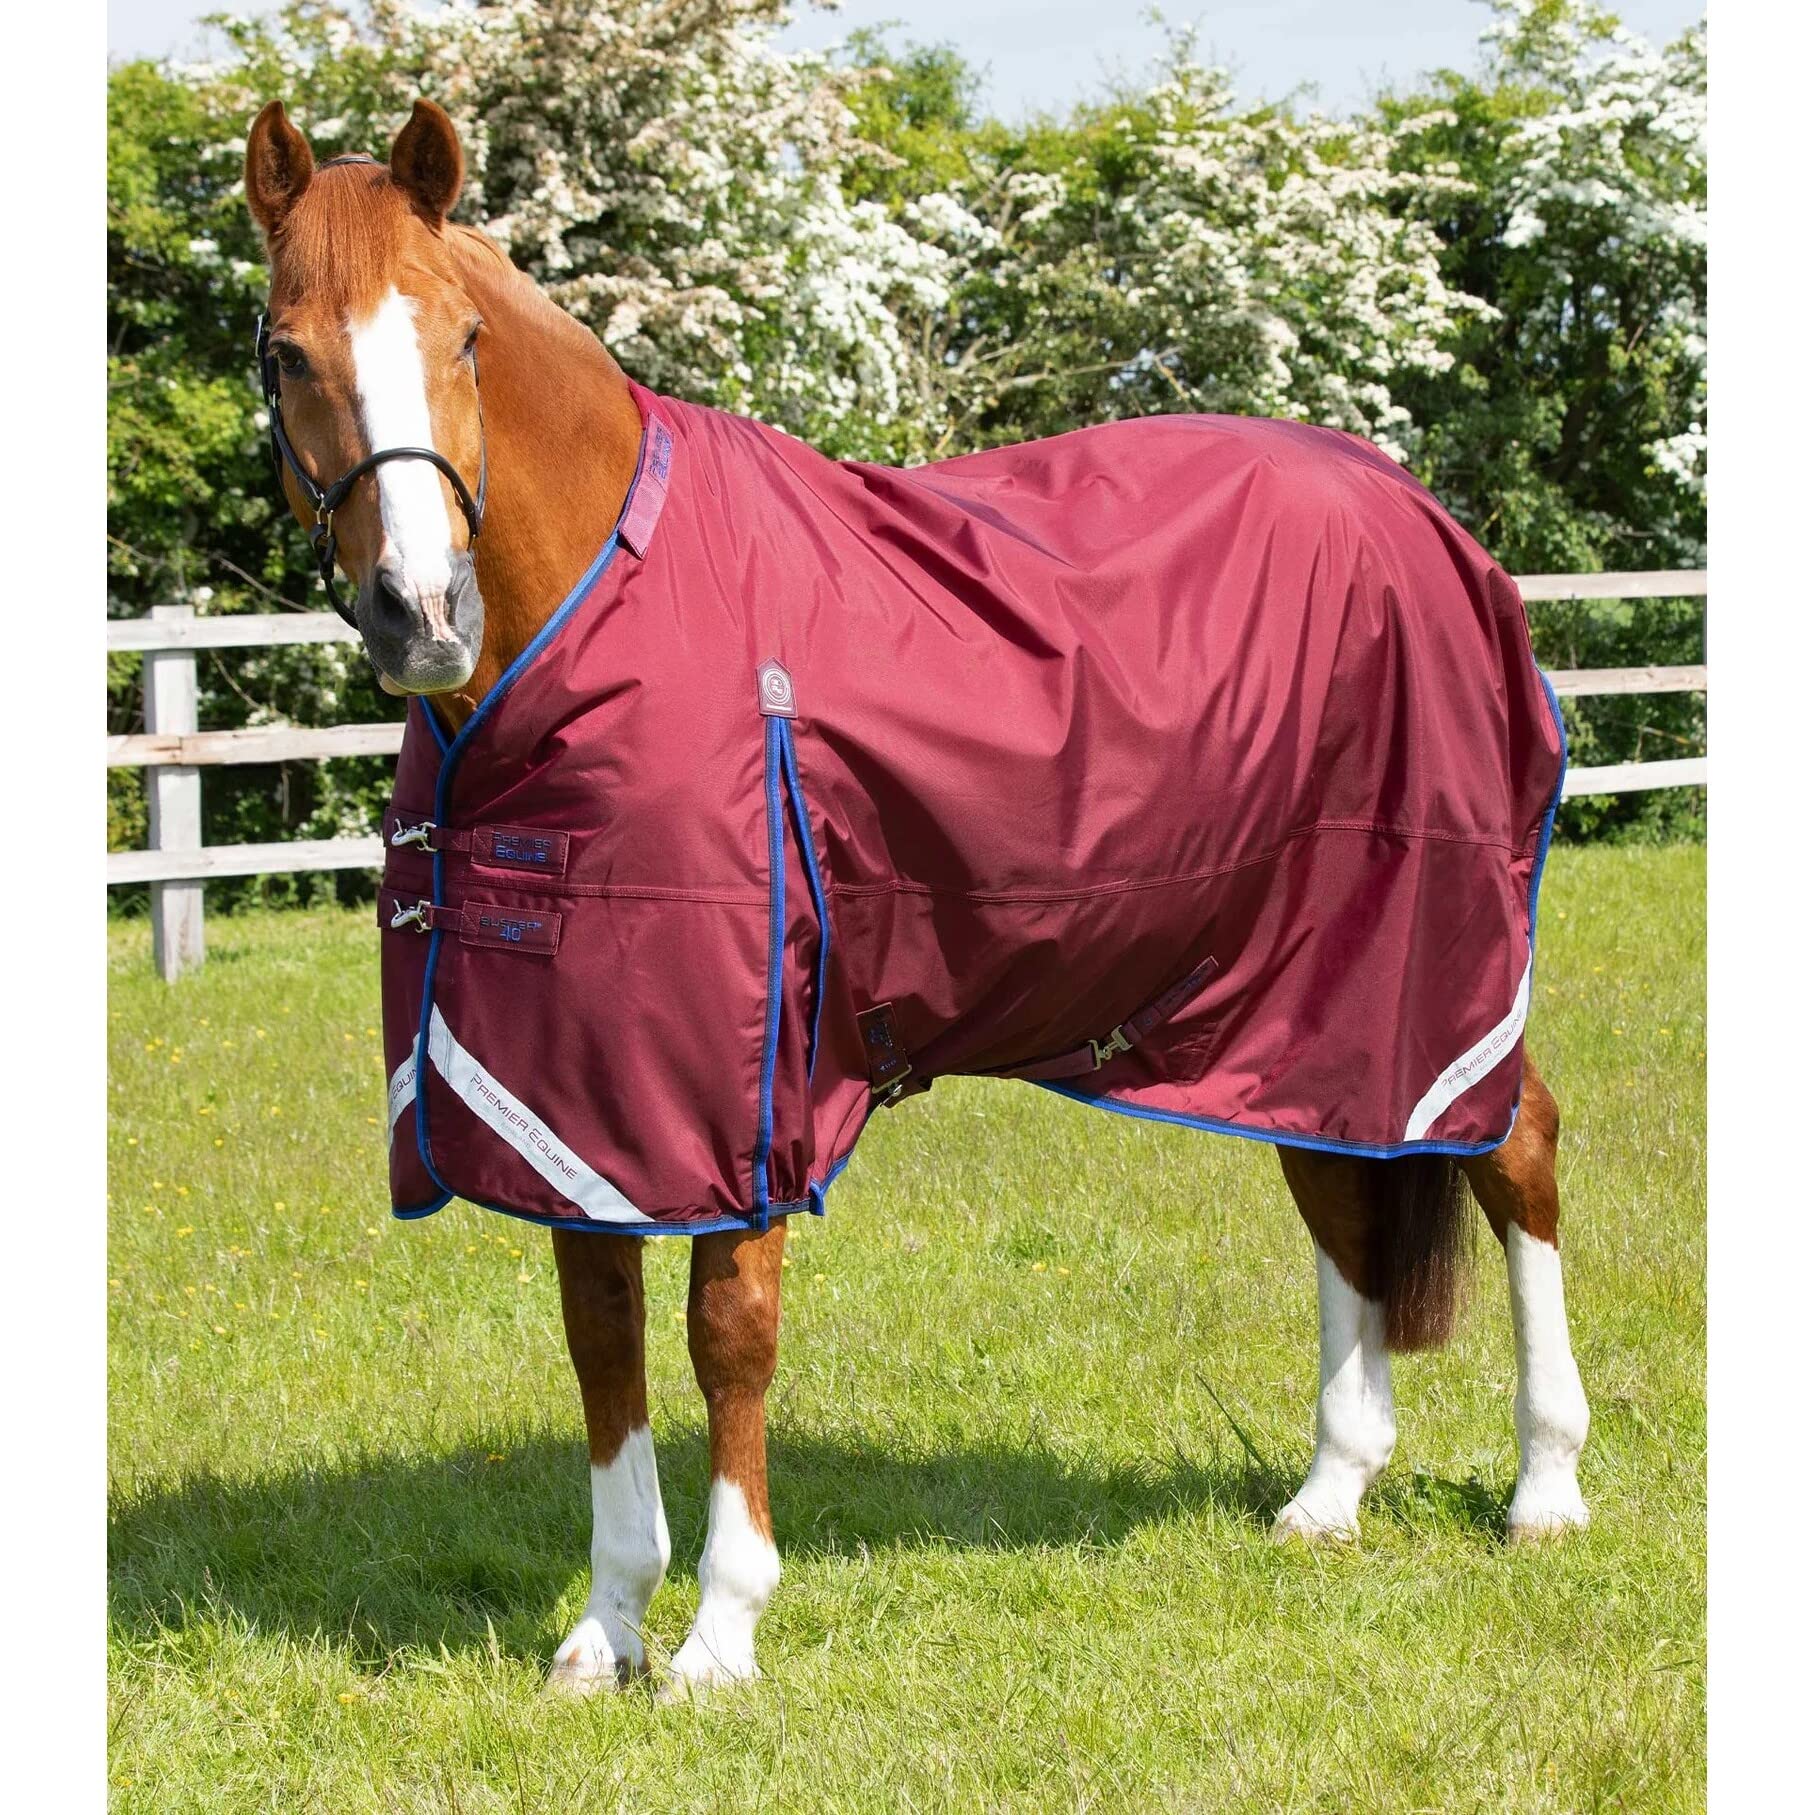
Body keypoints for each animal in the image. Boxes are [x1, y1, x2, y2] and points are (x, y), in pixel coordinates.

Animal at [244, 98, 1592, 1698]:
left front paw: (720, 1630)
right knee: (1335, 1173)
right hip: (1292, 994)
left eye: (459, 337)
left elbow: (725, 1335)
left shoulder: (737, 1096)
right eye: (285, 351)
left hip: (1438, 960)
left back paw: (1544, 1488)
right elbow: (600, 1338)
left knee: (1512, 1150)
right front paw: (606, 1624)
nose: (421, 614)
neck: (608, 606)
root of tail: (1422, 514)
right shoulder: (574, 1097)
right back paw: (1330, 1490)